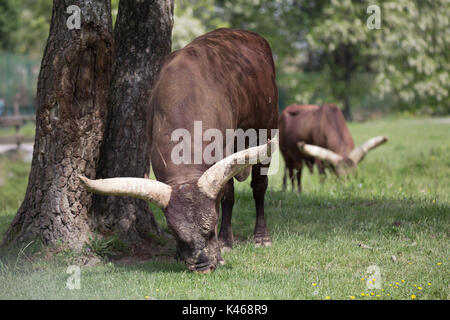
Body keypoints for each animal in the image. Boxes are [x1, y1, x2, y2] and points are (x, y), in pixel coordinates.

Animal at [80, 28, 278, 272]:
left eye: (210, 229)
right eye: (176, 234)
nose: (203, 266)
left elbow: (226, 194)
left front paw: (221, 250)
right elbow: (227, 194)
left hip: (265, 128)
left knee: (259, 186)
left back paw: (261, 237)